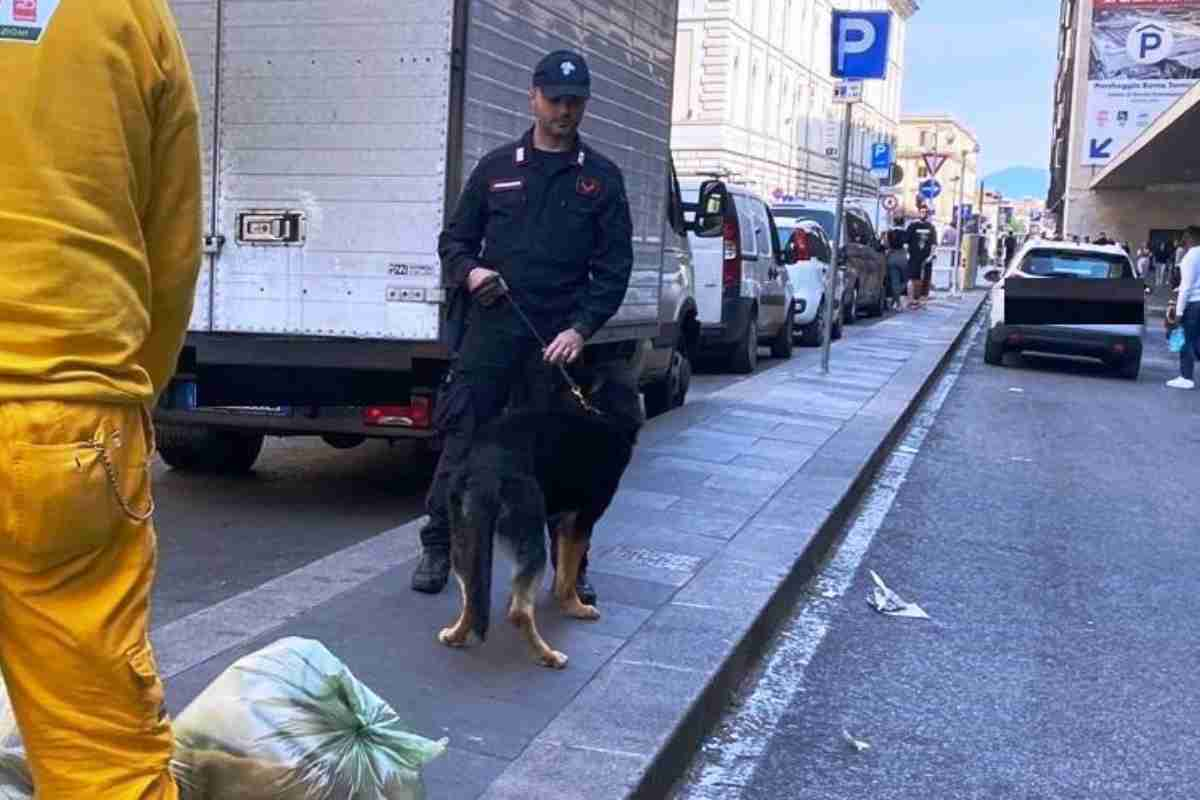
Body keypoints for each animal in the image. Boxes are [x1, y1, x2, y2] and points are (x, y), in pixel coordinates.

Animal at [439, 359, 643, 666]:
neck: (603, 411)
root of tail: (485, 471)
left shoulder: (561, 520)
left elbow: (564, 568)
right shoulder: (582, 520)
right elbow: (569, 572)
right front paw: (574, 606)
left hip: (465, 541)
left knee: (472, 595)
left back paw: (456, 635)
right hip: (530, 540)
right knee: (520, 613)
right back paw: (548, 655)